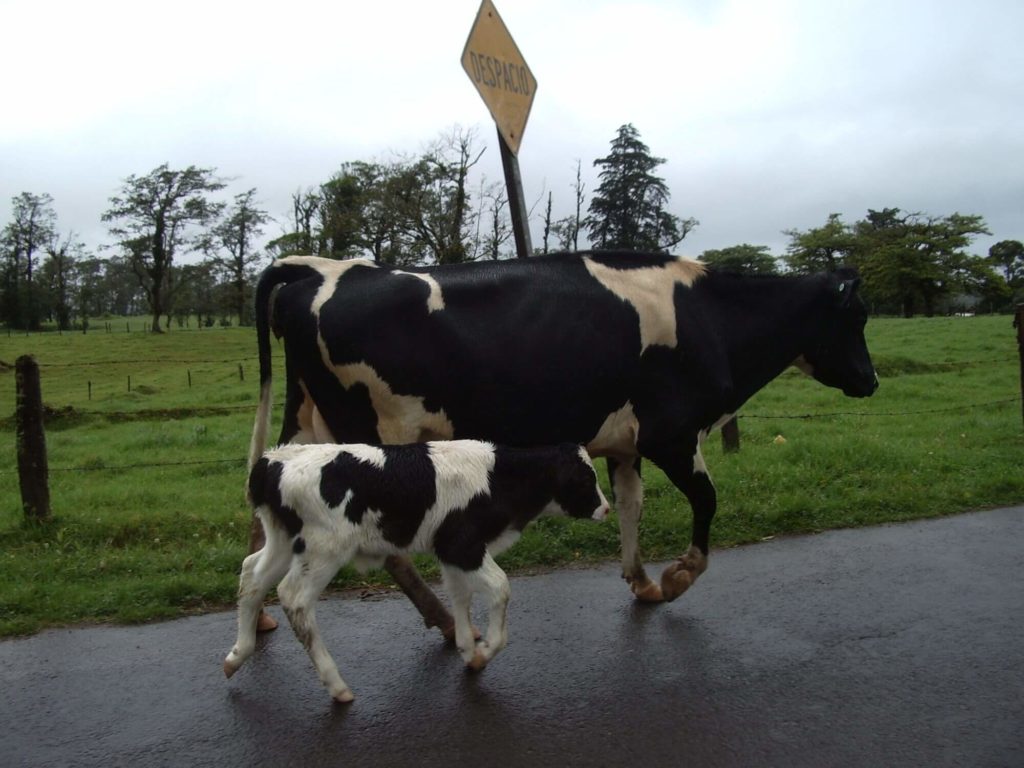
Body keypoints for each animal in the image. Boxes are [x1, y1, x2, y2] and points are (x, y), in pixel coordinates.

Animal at [224, 438, 606, 704]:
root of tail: (275, 459)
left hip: (283, 539)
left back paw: (237, 655)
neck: (497, 479)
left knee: (251, 575)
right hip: (324, 549)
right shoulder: (463, 545)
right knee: (294, 598)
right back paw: (337, 686)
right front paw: (485, 649)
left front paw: (468, 651)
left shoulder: (452, 552)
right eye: (586, 480)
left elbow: (460, 596)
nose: (604, 508)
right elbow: (500, 588)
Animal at [249, 252, 880, 638]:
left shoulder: (626, 444)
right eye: (857, 316)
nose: (872, 381)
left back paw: (257, 623)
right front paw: (678, 577)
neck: (712, 320)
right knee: (385, 543)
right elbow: (706, 501)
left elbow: (630, 507)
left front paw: (642, 581)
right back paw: (447, 622)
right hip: (376, 435)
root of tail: (321, 268)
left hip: (306, 426)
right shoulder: (673, 433)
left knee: (265, 506)